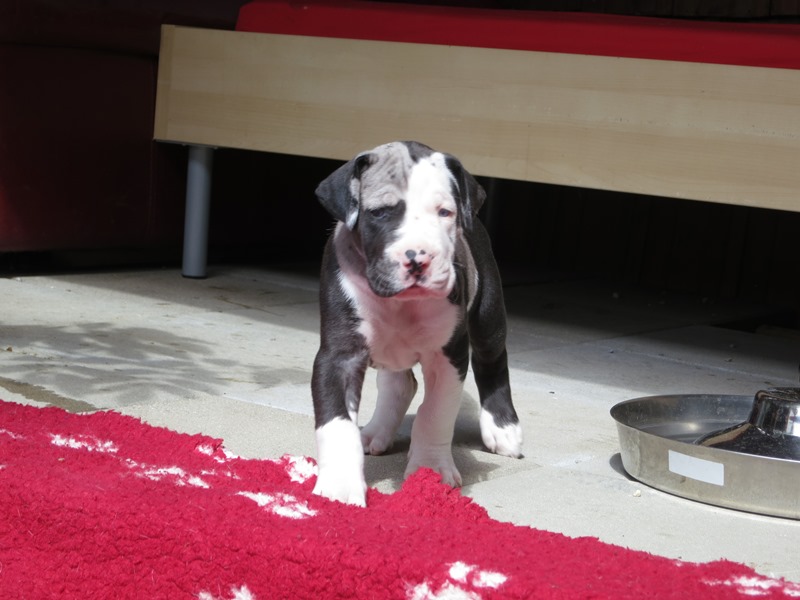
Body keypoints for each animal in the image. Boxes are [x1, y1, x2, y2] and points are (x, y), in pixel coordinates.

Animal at [311, 141, 522, 506]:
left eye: (445, 212)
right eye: (380, 213)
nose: (418, 258)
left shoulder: (448, 357)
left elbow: (435, 414)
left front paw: (430, 471)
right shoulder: (339, 357)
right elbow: (337, 424)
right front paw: (339, 489)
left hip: (488, 317)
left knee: (492, 362)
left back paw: (502, 428)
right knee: (400, 384)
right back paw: (376, 432)